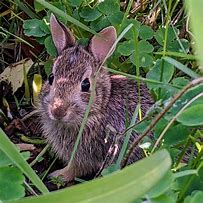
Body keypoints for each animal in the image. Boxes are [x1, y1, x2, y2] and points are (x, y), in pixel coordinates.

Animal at [38, 14, 153, 182]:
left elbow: (75, 169)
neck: (98, 111)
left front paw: (57, 175)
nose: (58, 111)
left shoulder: (86, 155)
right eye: (51, 78)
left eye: (86, 84)